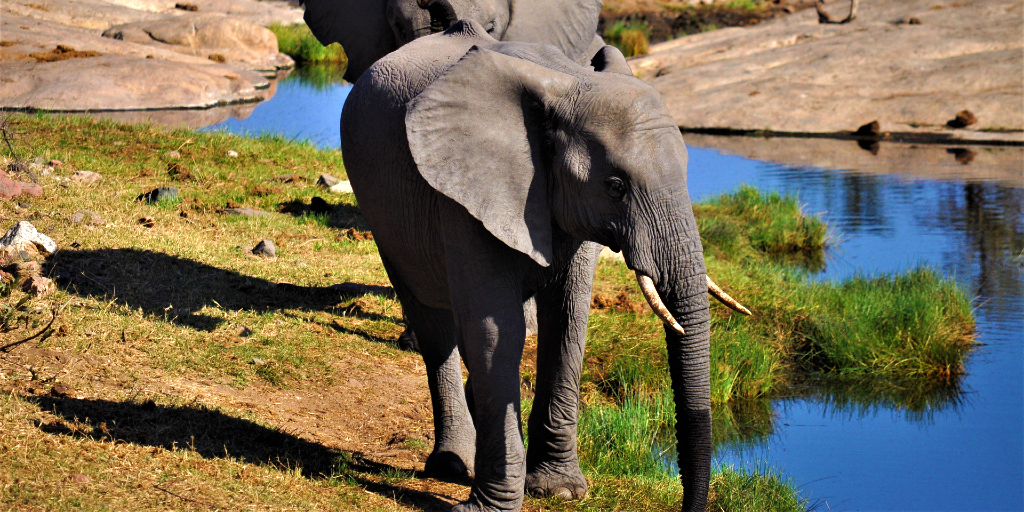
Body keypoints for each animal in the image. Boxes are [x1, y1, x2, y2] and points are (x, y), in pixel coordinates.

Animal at [339, 19, 749, 512]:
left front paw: (559, 490)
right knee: (433, 323)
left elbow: (568, 319)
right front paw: (485, 507)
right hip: (383, 213)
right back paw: (451, 465)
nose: (688, 504)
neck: (570, 83)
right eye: (614, 186)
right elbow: (497, 332)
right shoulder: (463, 195)